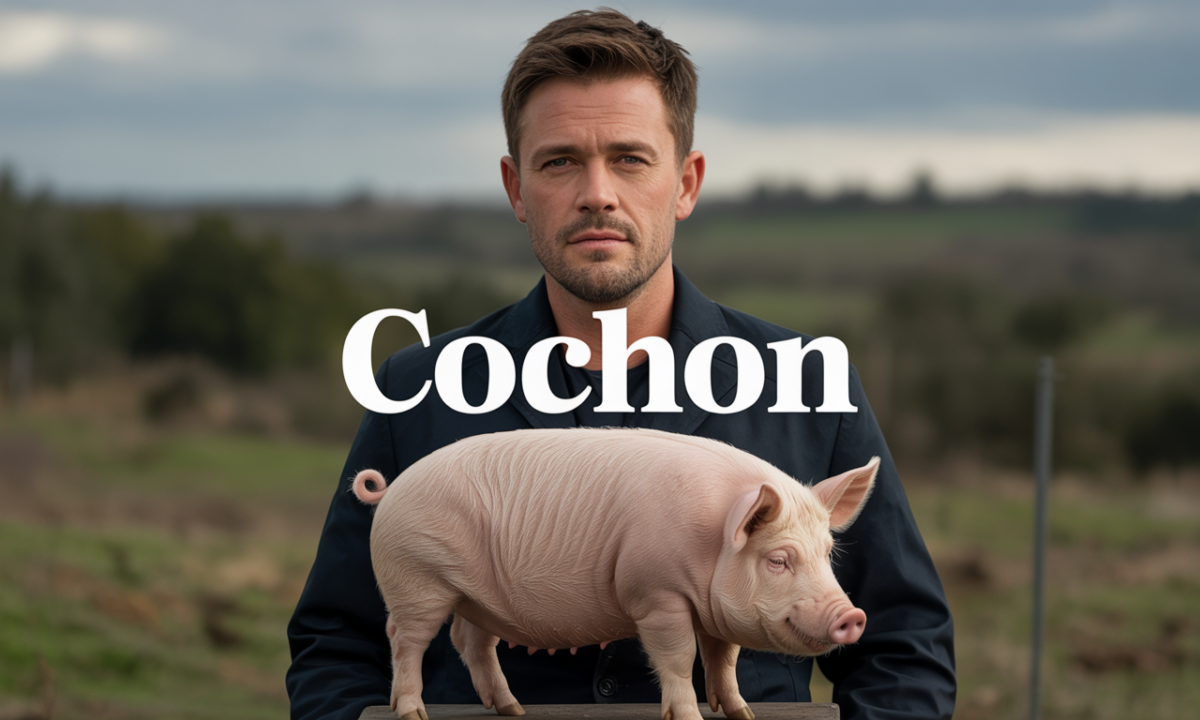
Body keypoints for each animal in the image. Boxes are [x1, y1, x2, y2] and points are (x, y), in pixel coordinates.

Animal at [351, 427, 878, 720]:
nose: (852, 615)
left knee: (471, 642)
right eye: (778, 560)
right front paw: (688, 717)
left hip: (473, 597)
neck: (711, 546)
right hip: (417, 580)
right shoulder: (657, 596)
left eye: (827, 552)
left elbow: (723, 660)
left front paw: (743, 714)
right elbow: (680, 659)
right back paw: (414, 714)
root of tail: (391, 488)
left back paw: (513, 709)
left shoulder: (713, 611)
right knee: (405, 640)